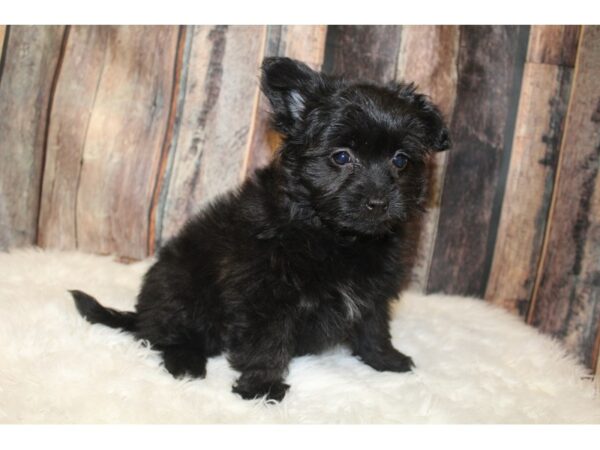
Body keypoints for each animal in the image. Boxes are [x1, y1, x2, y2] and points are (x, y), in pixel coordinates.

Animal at [70, 55, 448, 400]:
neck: (333, 234)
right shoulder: (265, 291)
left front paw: (386, 360)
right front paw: (261, 388)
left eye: (400, 160)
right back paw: (186, 364)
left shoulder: (373, 290)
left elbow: (374, 326)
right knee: (166, 335)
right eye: (341, 157)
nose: (379, 202)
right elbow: (267, 341)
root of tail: (142, 311)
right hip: (181, 288)